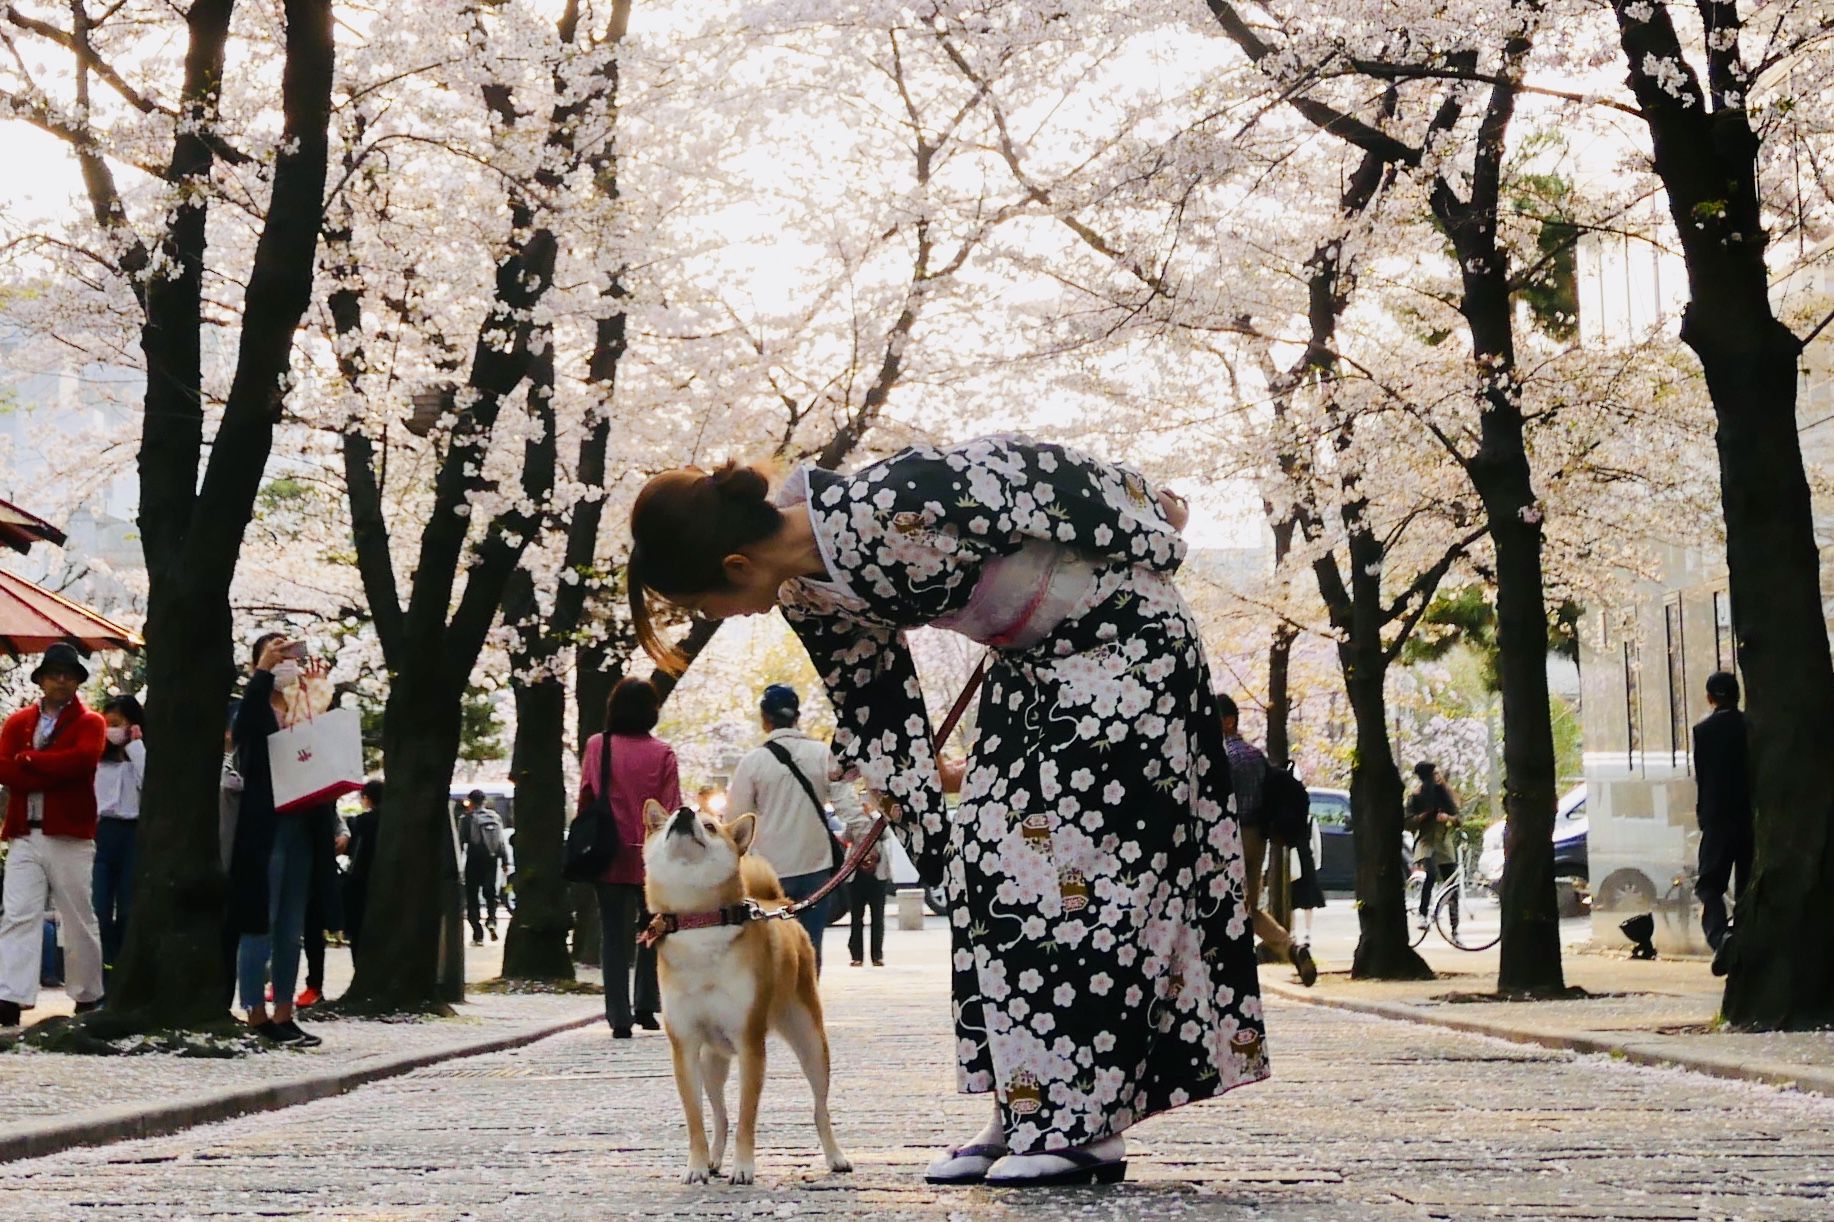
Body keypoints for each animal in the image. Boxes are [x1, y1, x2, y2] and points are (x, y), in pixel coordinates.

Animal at [638, 796, 850, 1181]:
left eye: (710, 826)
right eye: (671, 820)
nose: (686, 812)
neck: (701, 925)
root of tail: (776, 904)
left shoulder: (750, 1043)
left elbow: (746, 1117)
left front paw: (744, 1166)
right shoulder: (685, 1047)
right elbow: (696, 1119)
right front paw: (696, 1165)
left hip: (811, 1043)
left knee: (819, 1108)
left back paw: (835, 1156)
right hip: (712, 1062)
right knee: (719, 1115)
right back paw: (714, 1159)